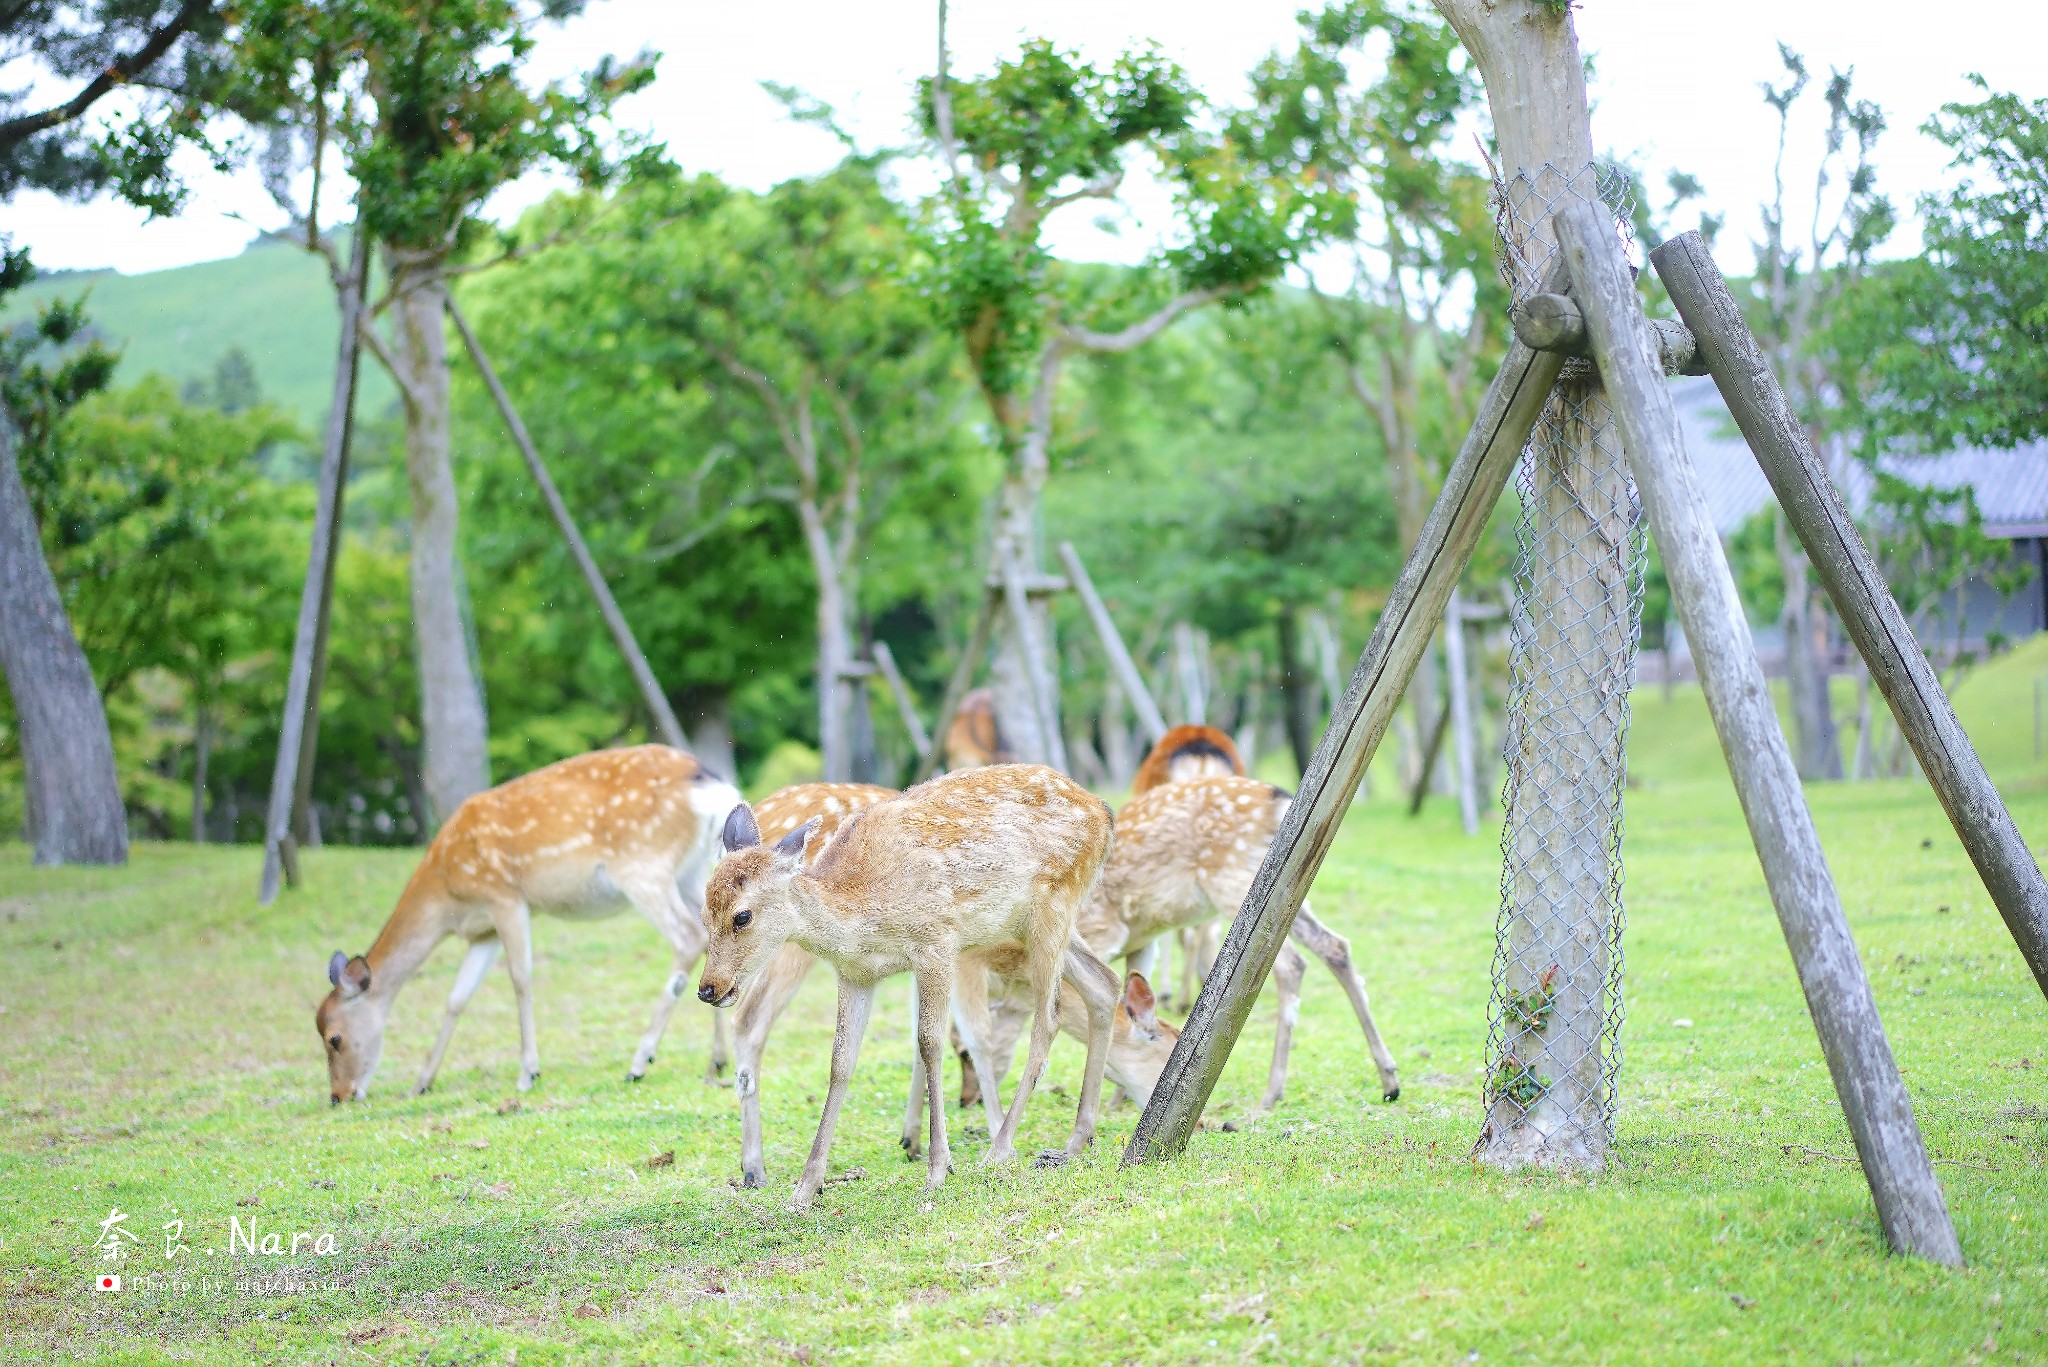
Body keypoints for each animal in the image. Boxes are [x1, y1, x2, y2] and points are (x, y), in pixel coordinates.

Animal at [311, 741, 737, 1106]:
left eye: (334, 1038)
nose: (338, 1096)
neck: (448, 896)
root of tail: (713, 786)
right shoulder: (482, 932)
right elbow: (457, 998)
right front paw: (422, 1082)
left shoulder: (505, 897)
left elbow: (520, 978)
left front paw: (528, 1073)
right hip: (693, 870)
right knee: (709, 935)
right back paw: (716, 1061)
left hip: (641, 865)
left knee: (687, 937)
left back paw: (639, 1062)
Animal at [700, 770, 1122, 1205]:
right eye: (704, 910)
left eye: (742, 916)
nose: (709, 988)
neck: (862, 911)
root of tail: (1105, 813)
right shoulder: (855, 974)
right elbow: (840, 1063)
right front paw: (805, 1188)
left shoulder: (937, 942)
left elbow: (929, 1043)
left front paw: (938, 1169)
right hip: (1035, 923)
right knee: (1105, 983)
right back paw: (1076, 1141)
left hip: (1053, 905)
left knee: (1049, 1018)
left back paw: (1000, 1149)